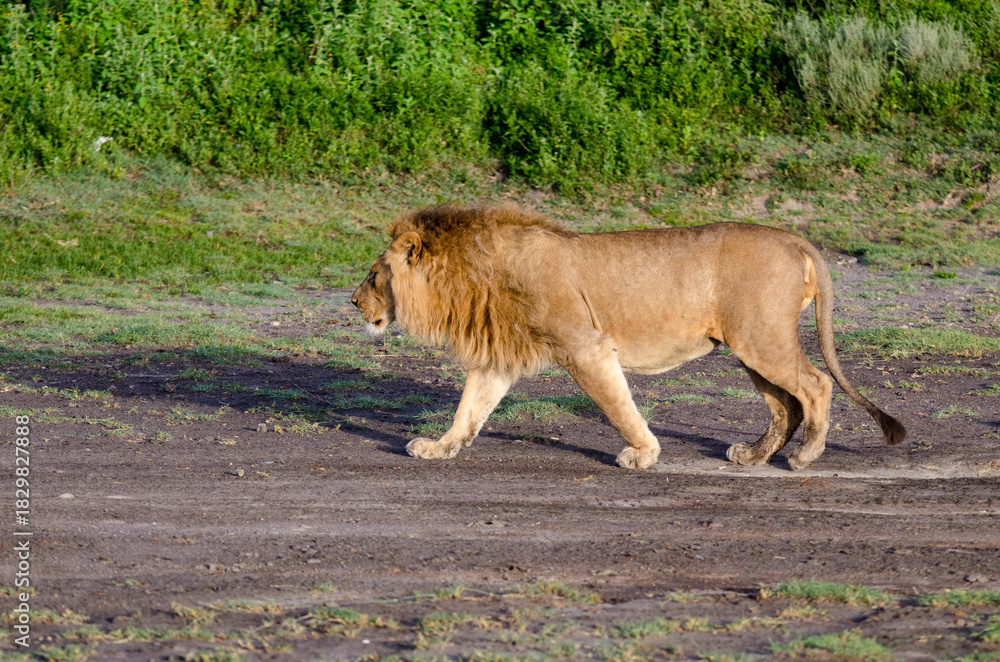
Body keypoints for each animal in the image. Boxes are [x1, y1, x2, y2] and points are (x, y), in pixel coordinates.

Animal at [351, 204, 905, 471]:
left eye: (375, 276)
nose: (354, 302)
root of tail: (794, 238)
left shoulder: (586, 346)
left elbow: (617, 405)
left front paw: (642, 453)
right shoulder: (498, 359)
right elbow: (469, 410)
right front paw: (438, 449)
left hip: (761, 339)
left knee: (816, 386)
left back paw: (805, 457)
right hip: (750, 346)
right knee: (784, 405)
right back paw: (753, 457)